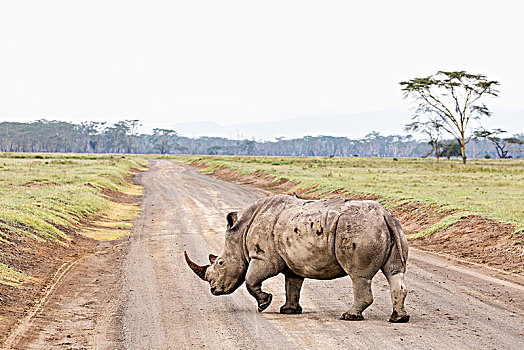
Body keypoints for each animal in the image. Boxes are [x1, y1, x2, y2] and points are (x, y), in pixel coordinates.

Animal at [184, 194, 410, 322]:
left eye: (220, 263)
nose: (214, 291)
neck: (239, 234)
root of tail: (385, 215)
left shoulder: (264, 258)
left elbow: (250, 280)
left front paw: (264, 304)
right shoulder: (292, 262)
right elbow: (292, 285)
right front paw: (289, 311)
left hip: (359, 229)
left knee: (359, 276)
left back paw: (349, 317)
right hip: (388, 228)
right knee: (394, 272)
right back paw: (398, 319)